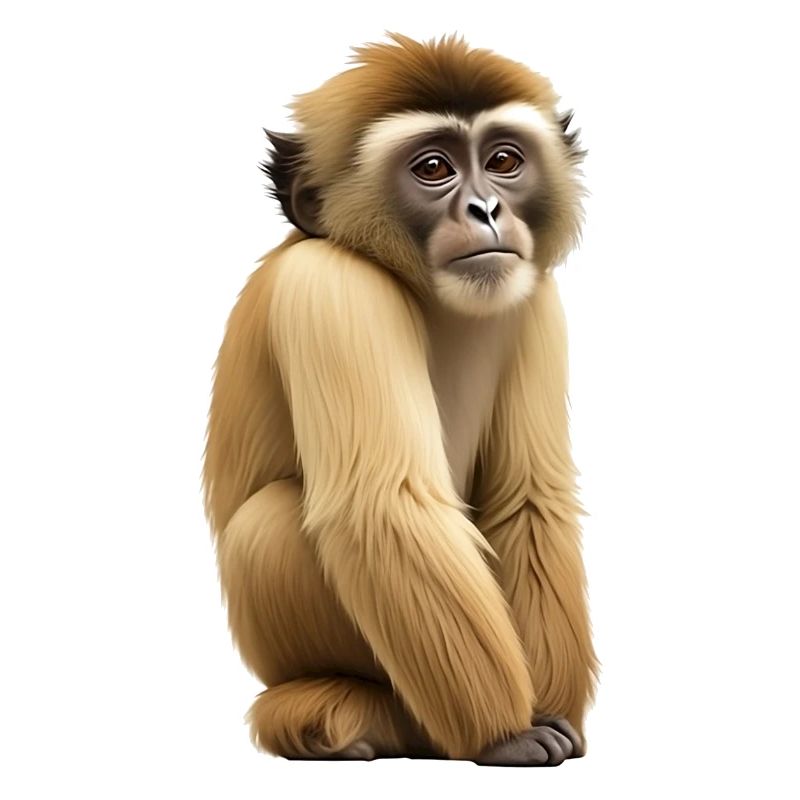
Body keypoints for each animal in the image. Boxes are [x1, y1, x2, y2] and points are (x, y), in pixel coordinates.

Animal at [203, 32, 598, 766]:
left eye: (503, 162)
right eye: (434, 168)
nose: (486, 210)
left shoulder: (534, 297)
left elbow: (528, 498)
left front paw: (553, 710)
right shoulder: (329, 287)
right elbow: (384, 507)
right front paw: (506, 730)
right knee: (275, 518)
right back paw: (342, 714)